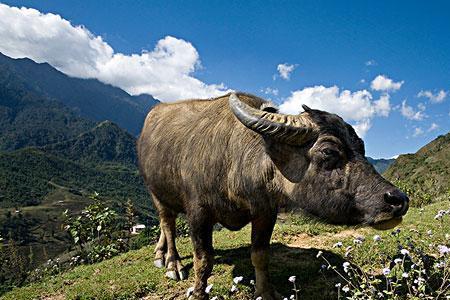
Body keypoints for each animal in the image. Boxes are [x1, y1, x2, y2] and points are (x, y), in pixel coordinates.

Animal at [136, 92, 408, 298]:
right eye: (328, 151)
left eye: (361, 147)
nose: (398, 200)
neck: (234, 162)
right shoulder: (198, 213)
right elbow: (203, 260)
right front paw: (199, 293)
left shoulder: (265, 212)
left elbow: (260, 255)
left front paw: (265, 292)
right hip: (155, 192)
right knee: (167, 223)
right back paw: (171, 262)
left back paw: (160, 253)